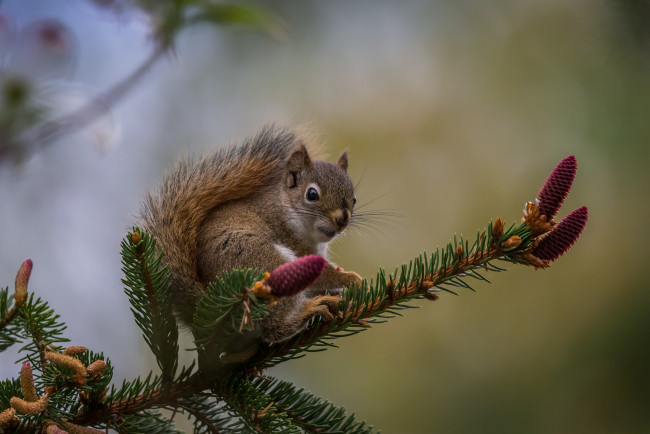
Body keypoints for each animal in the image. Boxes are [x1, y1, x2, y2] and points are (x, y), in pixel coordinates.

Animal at [139, 124, 360, 352]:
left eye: (353, 198)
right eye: (312, 194)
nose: (342, 218)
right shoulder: (295, 245)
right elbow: (324, 274)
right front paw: (351, 278)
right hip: (266, 266)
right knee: (273, 328)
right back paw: (311, 309)